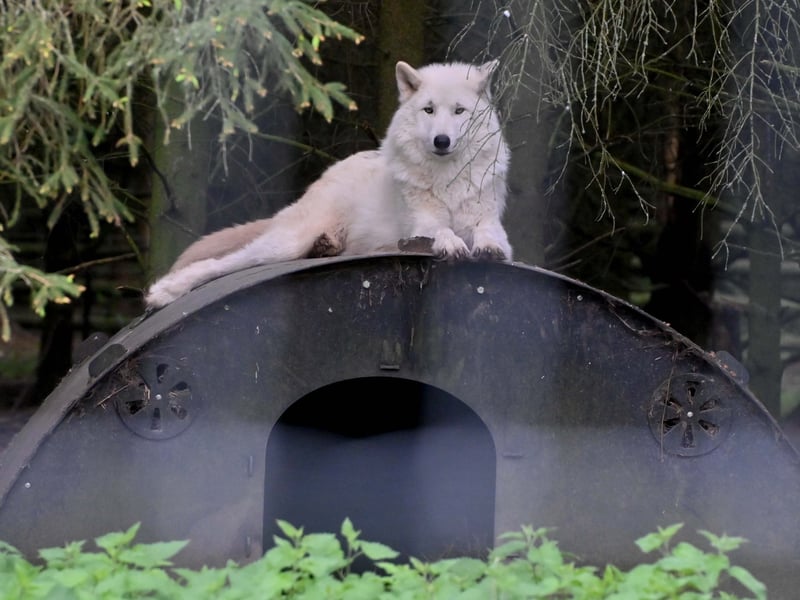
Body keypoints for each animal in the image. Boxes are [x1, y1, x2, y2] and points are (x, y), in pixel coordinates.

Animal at [145, 60, 512, 308]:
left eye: (459, 111)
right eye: (429, 110)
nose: (441, 141)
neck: (447, 176)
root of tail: (326, 175)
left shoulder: (491, 221)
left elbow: (488, 235)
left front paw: (486, 248)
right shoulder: (421, 223)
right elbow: (441, 230)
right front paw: (451, 244)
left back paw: (325, 247)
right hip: (283, 244)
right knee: (223, 263)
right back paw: (164, 292)